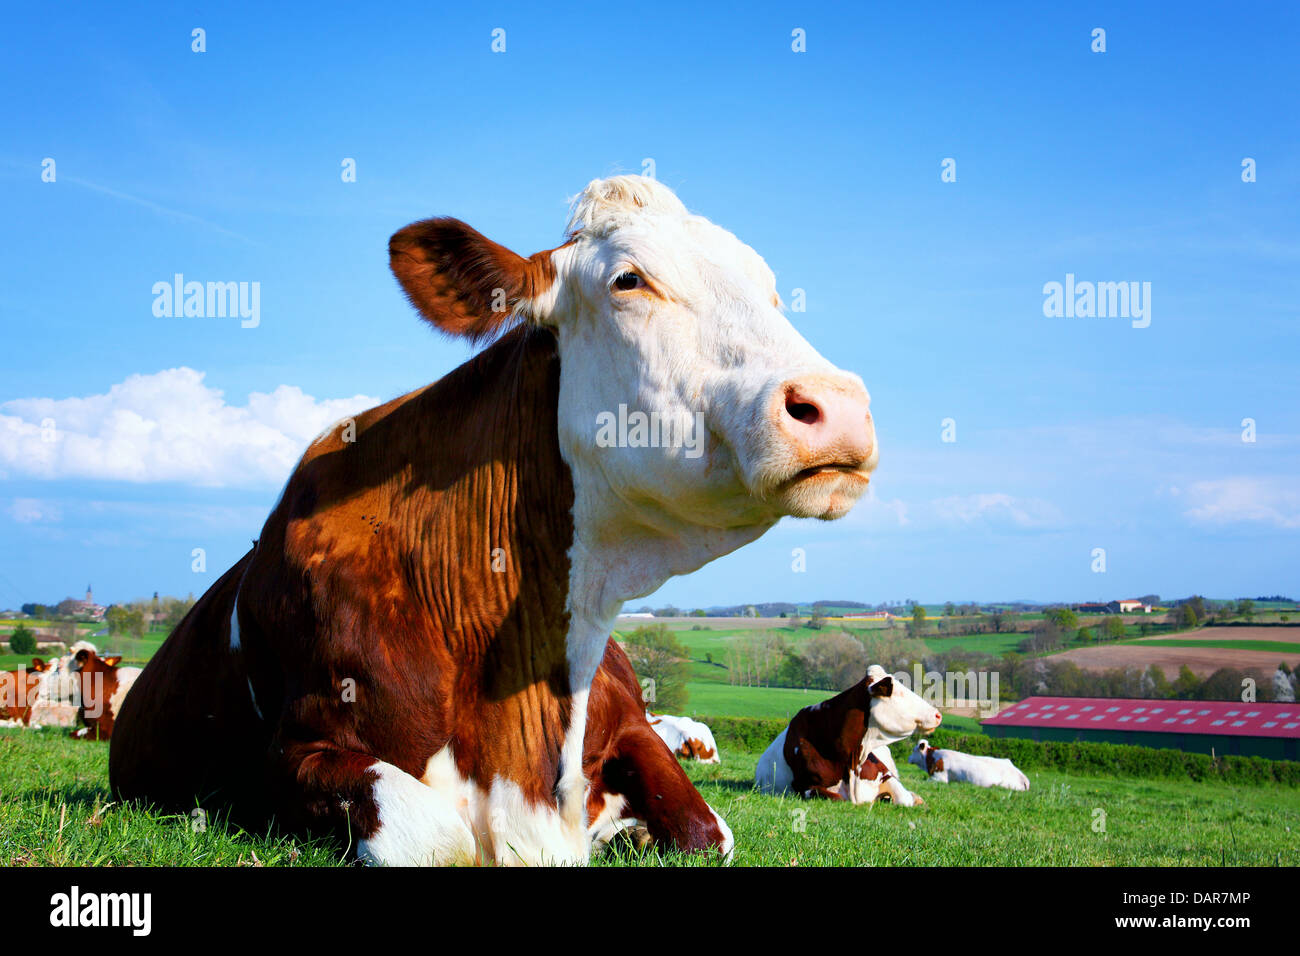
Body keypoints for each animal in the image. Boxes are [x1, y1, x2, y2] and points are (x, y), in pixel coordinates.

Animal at [755, 665, 941, 804]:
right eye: (898, 692)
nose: (937, 714)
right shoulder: (806, 787)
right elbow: (838, 797)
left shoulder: (885, 774)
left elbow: (904, 798)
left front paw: (914, 799)